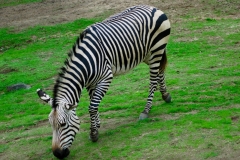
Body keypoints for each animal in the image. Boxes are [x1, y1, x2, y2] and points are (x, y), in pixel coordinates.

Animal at [36, 5, 172, 159]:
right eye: (51, 125)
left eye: (63, 124)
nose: (58, 154)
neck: (86, 63)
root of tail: (153, 7)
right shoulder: (91, 83)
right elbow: (93, 104)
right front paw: (97, 125)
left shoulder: (106, 77)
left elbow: (92, 106)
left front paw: (94, 133)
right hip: (148, 54)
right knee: (160, 72)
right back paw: (166, 95)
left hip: (157, 50)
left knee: (153, 80)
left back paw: (146, 110)